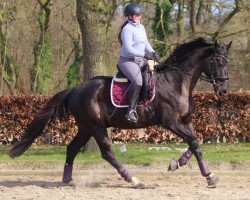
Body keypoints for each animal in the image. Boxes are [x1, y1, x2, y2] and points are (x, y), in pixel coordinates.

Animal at [9, 37, 232, 188]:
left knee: (72, 148)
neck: (176, 82)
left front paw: (198, 172)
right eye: (218, 62)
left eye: (227, 63)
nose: (223, 90)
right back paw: (133, 179)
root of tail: (74, 89)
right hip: (96, 126)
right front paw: (188, 169)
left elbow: (196, 144)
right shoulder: (170, 122)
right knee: (107, 152)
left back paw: (68, 179)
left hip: (85, 127)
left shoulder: (186, 121)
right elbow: (193, 142)